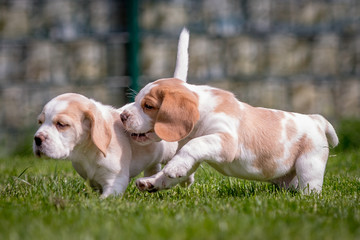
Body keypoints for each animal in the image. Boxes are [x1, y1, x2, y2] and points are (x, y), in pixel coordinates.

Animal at [33, 93, 177, 198]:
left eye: (61, 124)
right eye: (40, 122)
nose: (37, 139)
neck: (86, 152)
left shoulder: (115, 181)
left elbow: (103, 200)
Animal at [120, 28, 338, 194]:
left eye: (148, 106)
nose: (122, 116)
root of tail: (316, 119)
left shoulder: (225, 140)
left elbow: (193, 146)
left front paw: (172, 168)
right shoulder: (194, 156)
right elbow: (175, 169)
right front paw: (153, 181)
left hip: (309, 163)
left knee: (310, 188)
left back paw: (307, 199)